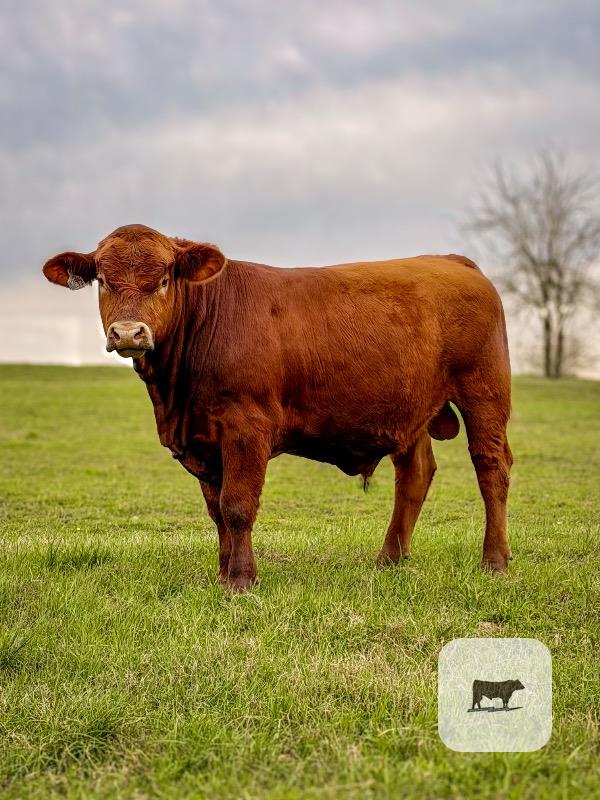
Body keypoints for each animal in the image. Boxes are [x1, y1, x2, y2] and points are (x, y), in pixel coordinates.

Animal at [43, 224, 513, 592]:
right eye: (103, 279)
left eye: (162, 280)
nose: (128, 332)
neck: (175, 397)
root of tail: (453, 261)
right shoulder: (204, 440)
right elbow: (217, 512)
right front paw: (222, 575)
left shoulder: (246, 428)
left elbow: (237, 505)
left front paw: (241, 580)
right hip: (410, 410)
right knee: (414, 475)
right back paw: (389, 559)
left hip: (484, 392)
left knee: (491, 467)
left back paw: (494, 561)